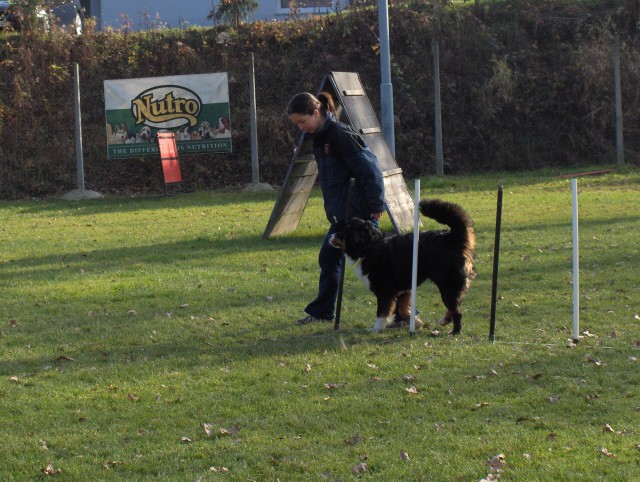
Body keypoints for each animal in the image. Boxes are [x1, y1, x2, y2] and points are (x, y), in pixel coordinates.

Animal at [330, 200, 476, 336]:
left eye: (341, 232)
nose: (329, 237)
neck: (369, 246)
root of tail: (453, 237)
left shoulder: (385, 291)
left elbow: (381, 312)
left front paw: (376, 329)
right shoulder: (404, 289)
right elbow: (402, 308)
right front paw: (413, 321)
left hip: (447, 284)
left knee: (456, 311)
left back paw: (455, 332)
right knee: (456, 305)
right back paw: (444, 321)